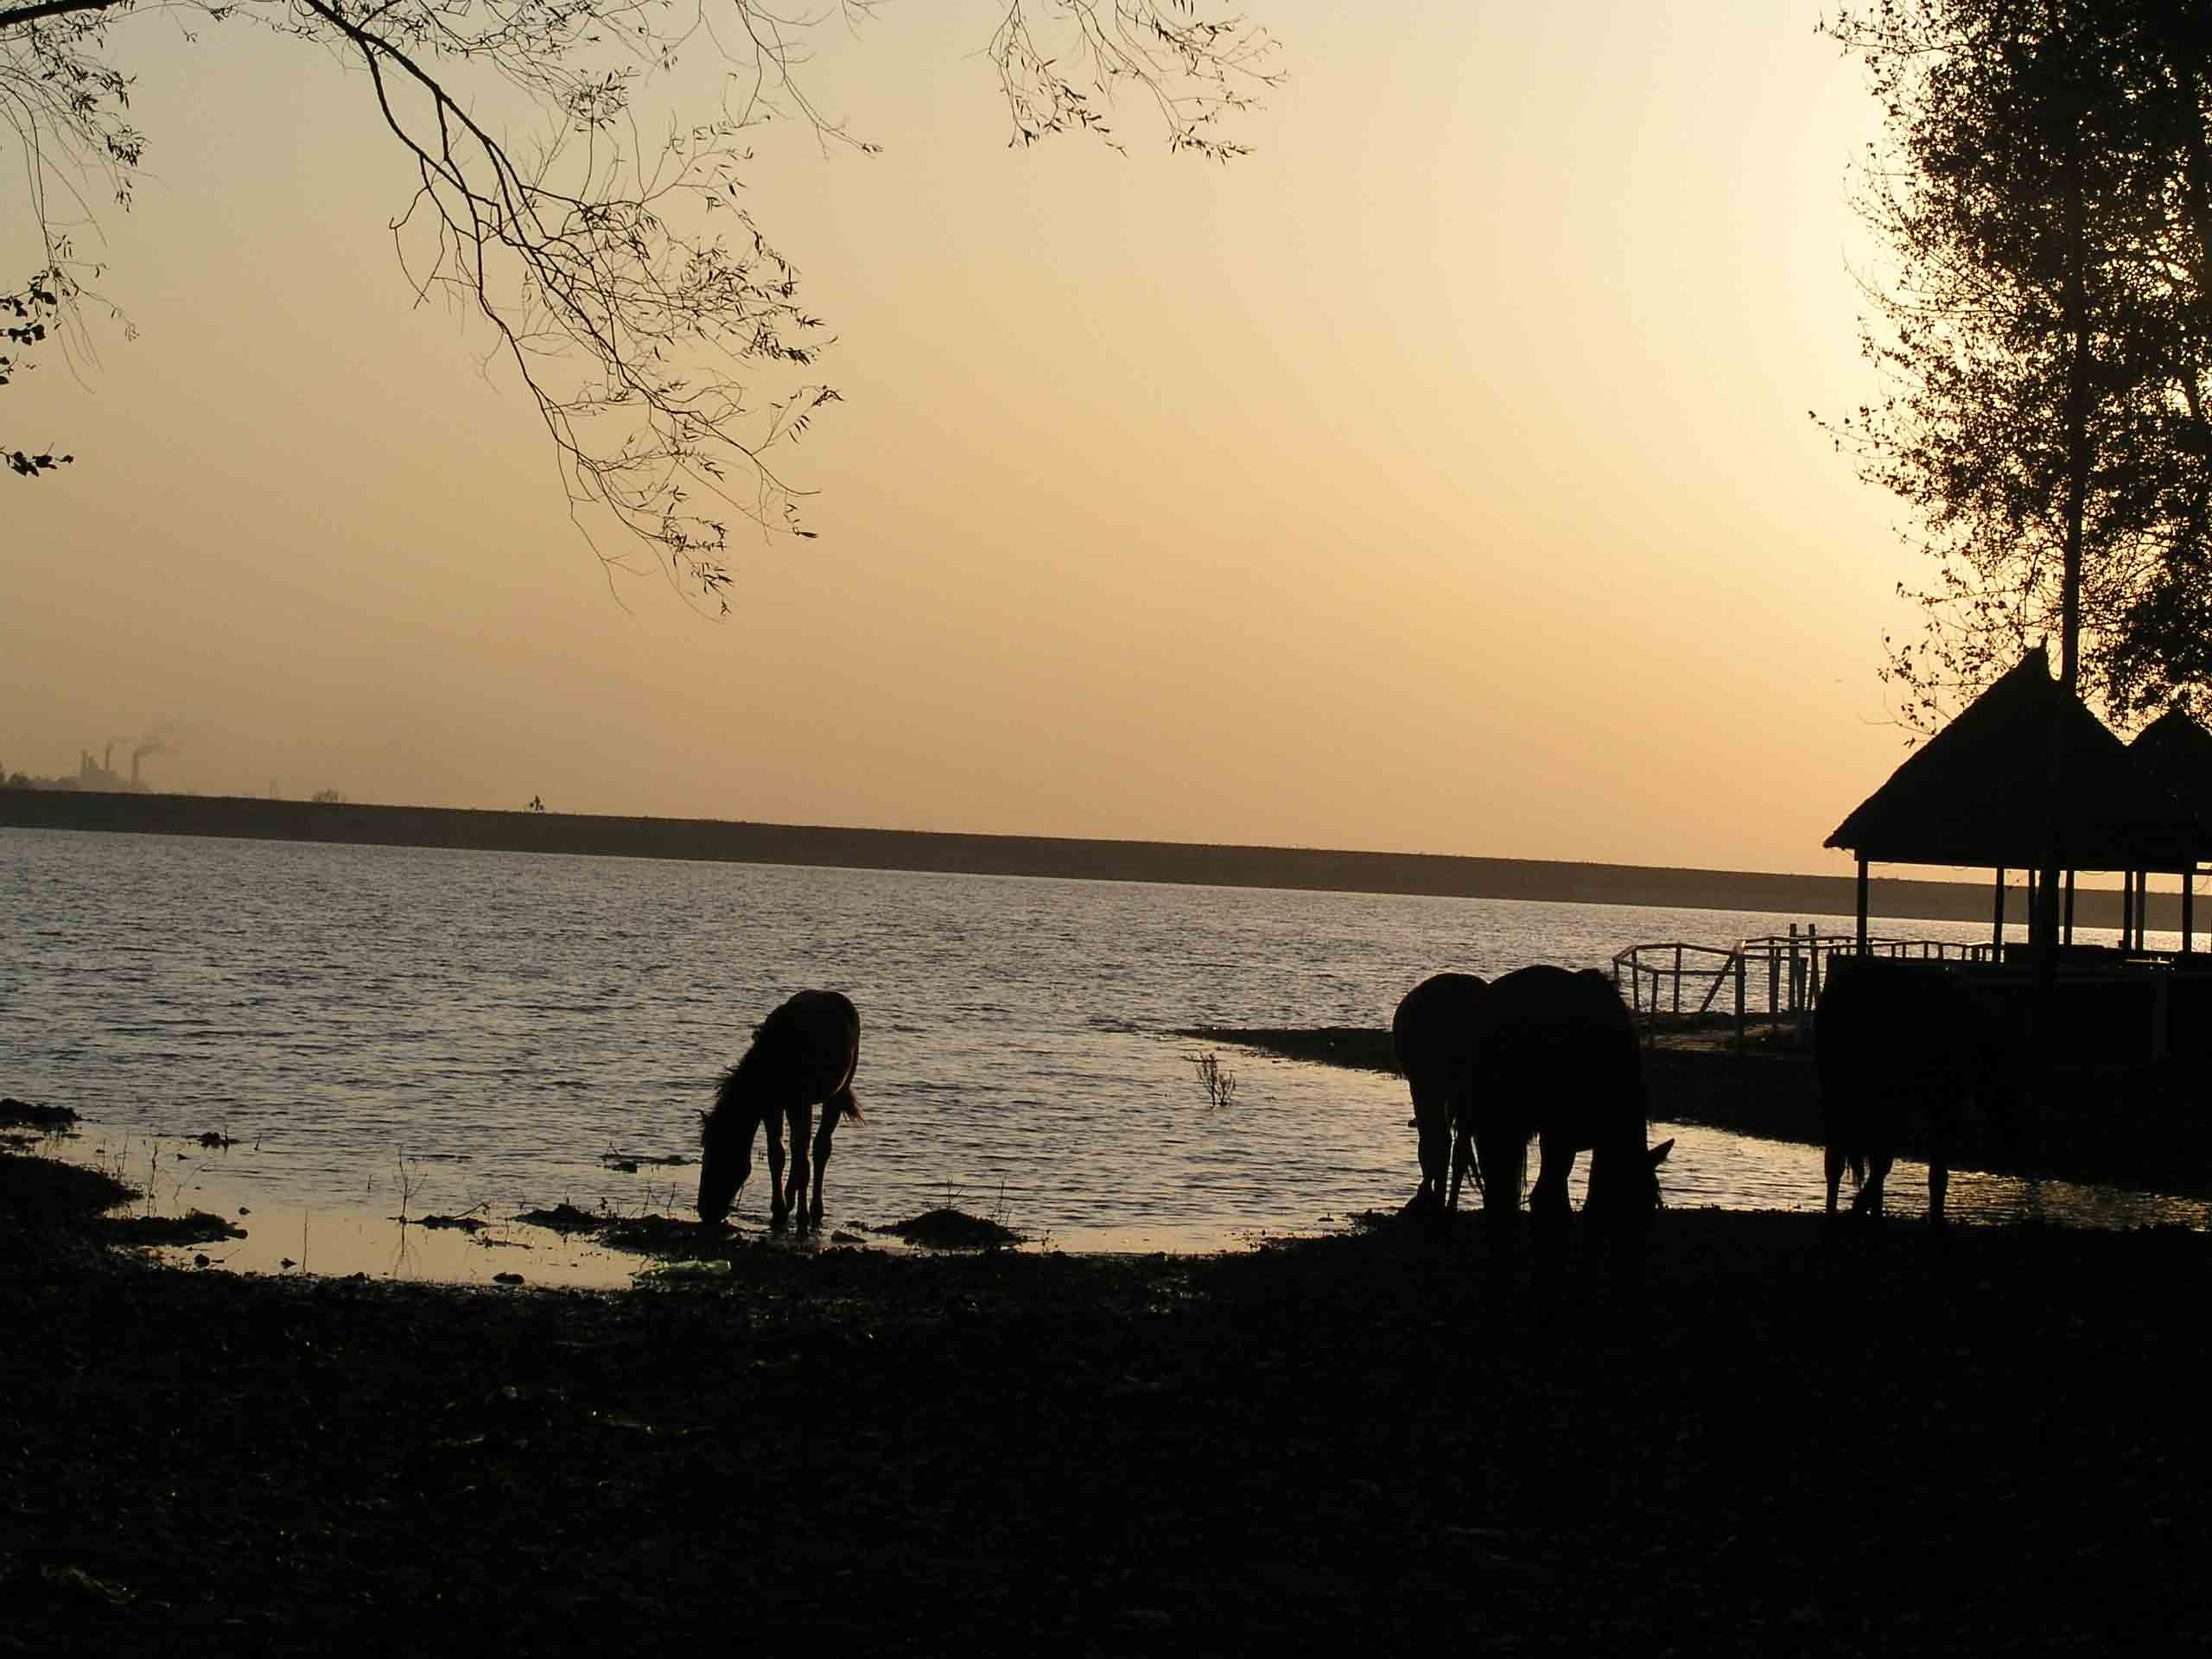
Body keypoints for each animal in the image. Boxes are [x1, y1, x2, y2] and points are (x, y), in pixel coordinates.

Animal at [694, 986, 858, 1238]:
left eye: (721, 1153)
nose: (706, 1211)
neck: (774, 1060)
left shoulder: (800, 1104)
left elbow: (802, 1161)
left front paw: (800, 1217)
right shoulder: (772, 1108)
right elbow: (777, 1156)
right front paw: (779, 1210)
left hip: (837, 1094)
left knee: (820, 1150)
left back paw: (815, 1212)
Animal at [1389, 973, 1495, 1221]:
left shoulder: (1423, 1089)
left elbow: (1430, 1145)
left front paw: (1427, 1195)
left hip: (1434, 1091)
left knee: (1442, 1142)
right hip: (1465, 1098)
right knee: (1460, 1148)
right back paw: (1450, 1205)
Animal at [1459, 969, 1663, 1265]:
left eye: (1653, 1203)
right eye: (1634, 1203)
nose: (1634, 1258)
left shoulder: (1594, 1141)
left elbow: (1590, 1202)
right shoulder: (1562, 1137)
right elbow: (1555, 1201)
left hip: (1494, 1127)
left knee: (1500, 1198)